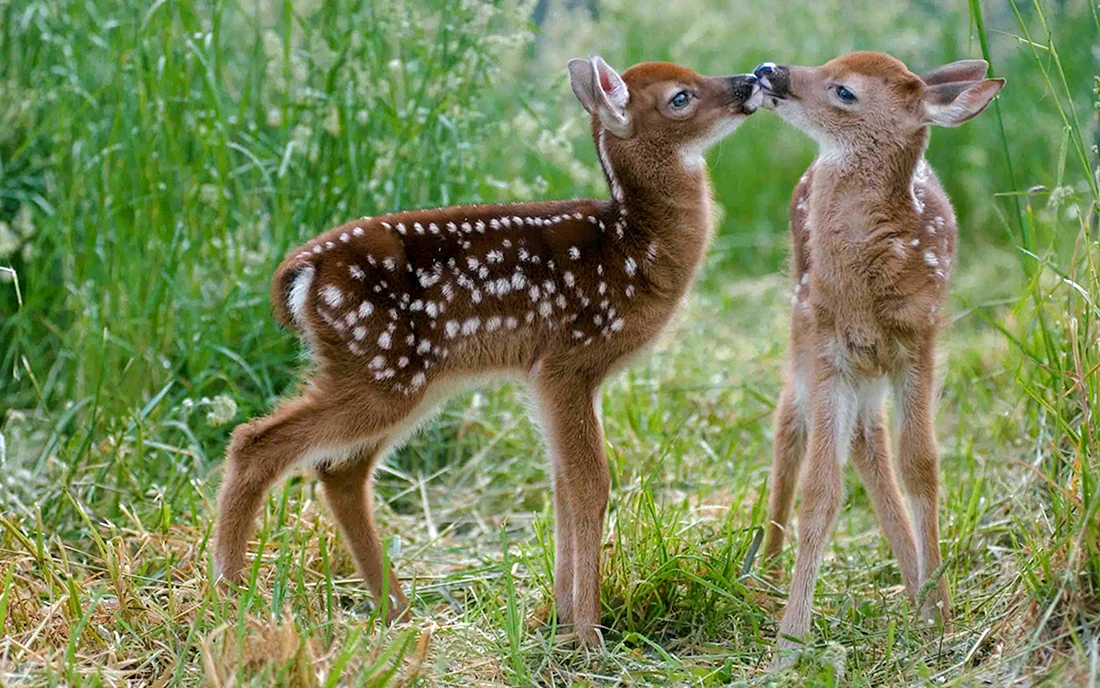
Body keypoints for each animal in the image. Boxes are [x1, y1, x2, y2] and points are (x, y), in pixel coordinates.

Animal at [212, 55, 762, 647]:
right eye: (681, 96)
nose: (751, 80)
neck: (635, 247)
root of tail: (301, 275)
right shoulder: (568, 360)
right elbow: (591, 483)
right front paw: (589, 634)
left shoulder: (546, 375)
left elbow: (562, 485)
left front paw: (561, 621)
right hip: (382, 368)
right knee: (257, 441)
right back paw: (230, 593)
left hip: (396, 377)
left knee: (340, 470)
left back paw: (396, 613)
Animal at [752, 53, 1003, 664]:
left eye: (844, 90)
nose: (769, 69)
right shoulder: (828, 349)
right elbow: (821, 490)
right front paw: (790, 641)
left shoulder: (920, 342)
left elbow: (921, 465)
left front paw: (940, 616)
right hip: (802, 326)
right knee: (789, 423)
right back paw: (765, 573)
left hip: (870, 365)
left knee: (869, 439)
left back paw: (915, 591)